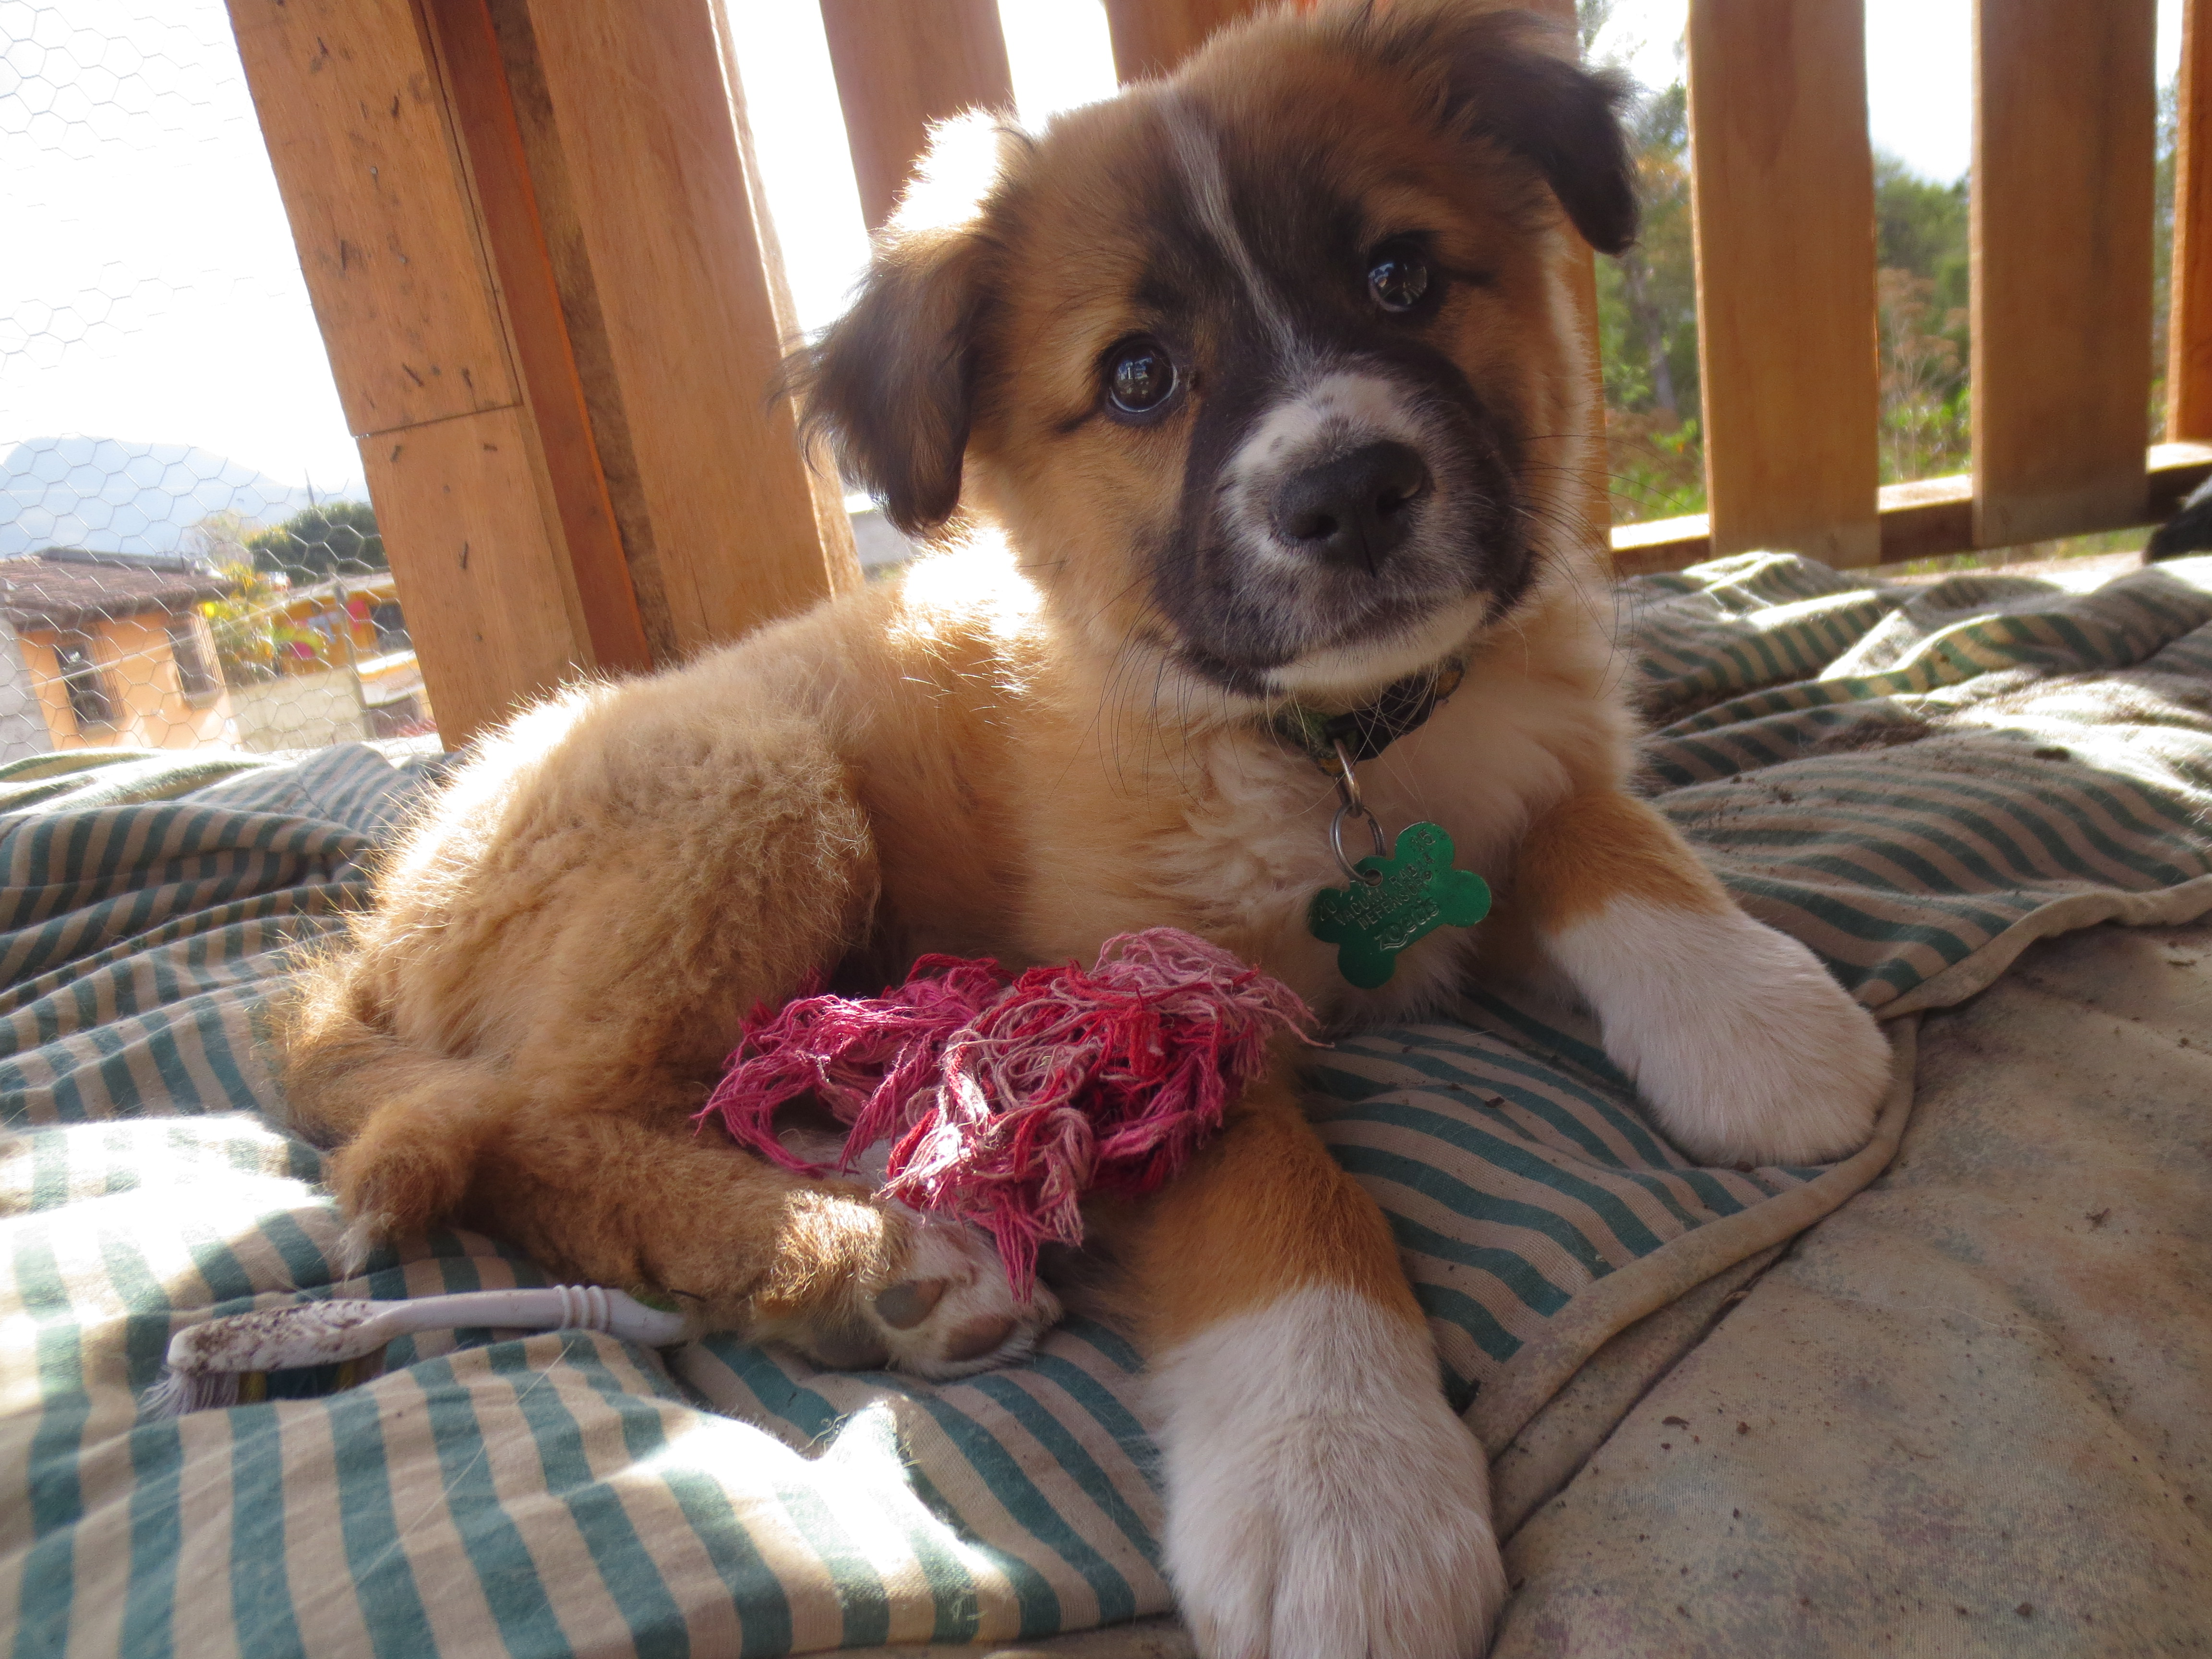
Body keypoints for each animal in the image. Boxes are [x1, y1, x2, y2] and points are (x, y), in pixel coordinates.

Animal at [279, 4, 1893, 1653]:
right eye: (1137, 376)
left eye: (1401, 275)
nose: (1352, 491)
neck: (1330, 749)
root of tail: (381, 932)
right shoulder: (1132, 1006)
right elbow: (1274, 1202)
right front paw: (1339, 1483)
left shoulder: (1517, 775)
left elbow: (1606, 836)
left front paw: (1753, 1019)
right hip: (756, 784)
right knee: (539, 1125)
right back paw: (872, 1259)